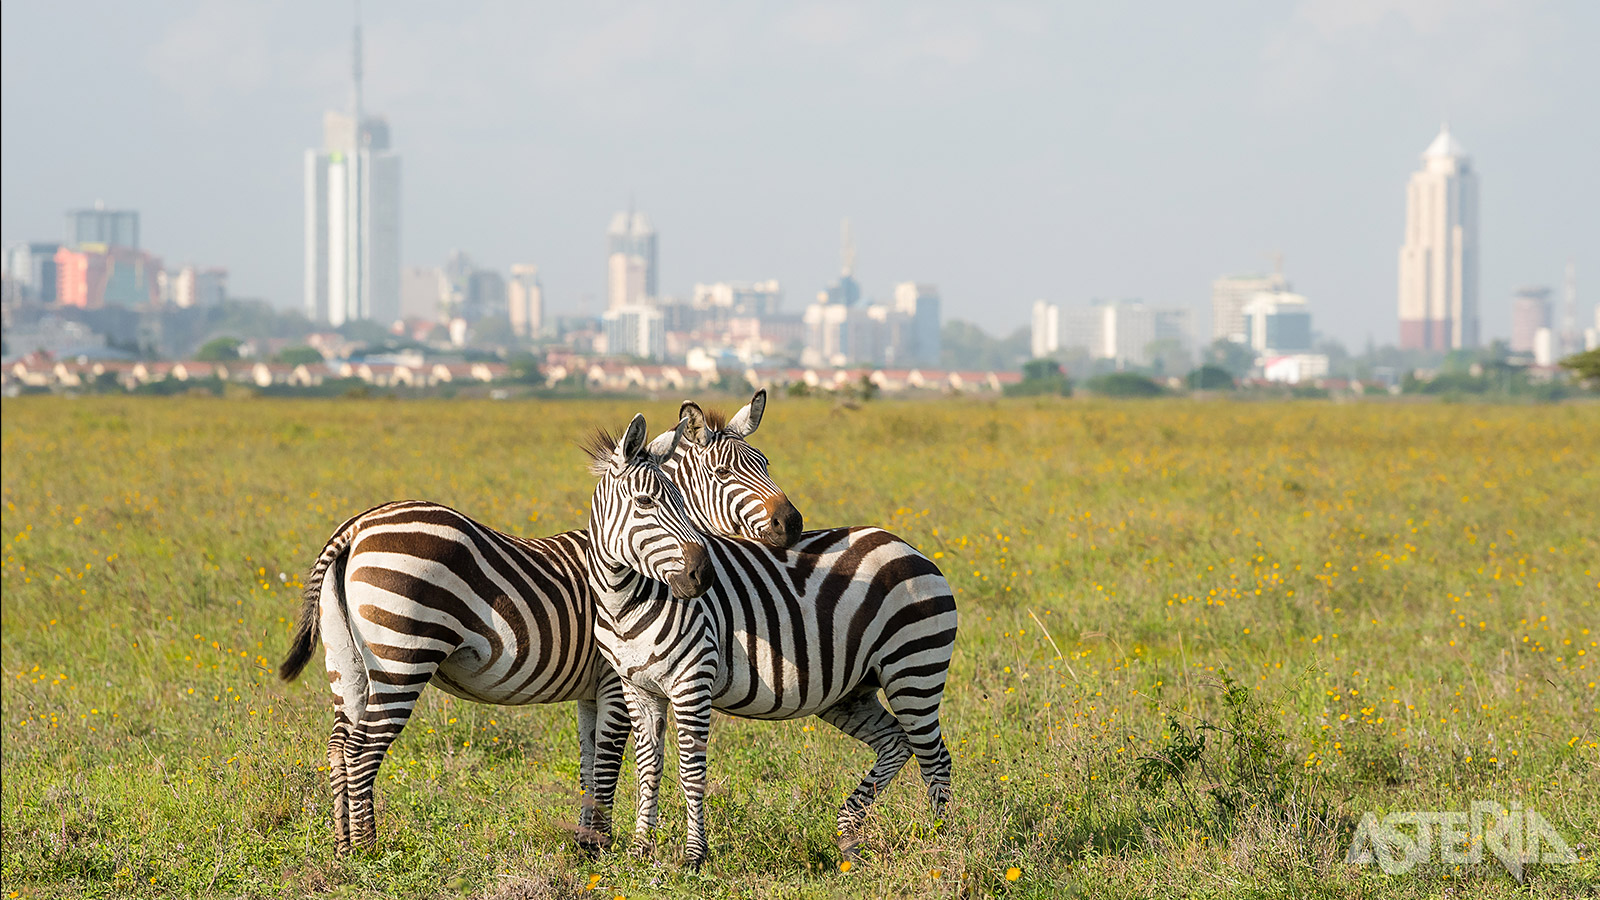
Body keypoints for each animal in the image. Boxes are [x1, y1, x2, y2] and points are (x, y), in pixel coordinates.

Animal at [278, 392, 796, 845]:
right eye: (724, 472)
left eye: (766, 464)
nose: (791, 523)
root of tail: (356, 526)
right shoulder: (615, 679)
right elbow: (608, 762)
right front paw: (601, 844)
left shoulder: (592, 689)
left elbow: (589, 761)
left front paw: (588, 842)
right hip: (402, 657)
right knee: (363, 749)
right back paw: (369, 850)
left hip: (347, 662)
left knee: (339, 745)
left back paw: (343, 846)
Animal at [588, 416, 960, 864]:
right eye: (645, 502)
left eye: (681, 500)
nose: (703, 575)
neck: (624, 602)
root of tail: (907, 546)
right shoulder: (638, 688)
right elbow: (647, 767)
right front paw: (641, 850)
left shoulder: (692, 682)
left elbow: (691, 771)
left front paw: (694, 855)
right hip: (851, 692)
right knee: (896, 742)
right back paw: (849, 834)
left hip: (914, 669)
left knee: (935, 758)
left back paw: (942, 843)